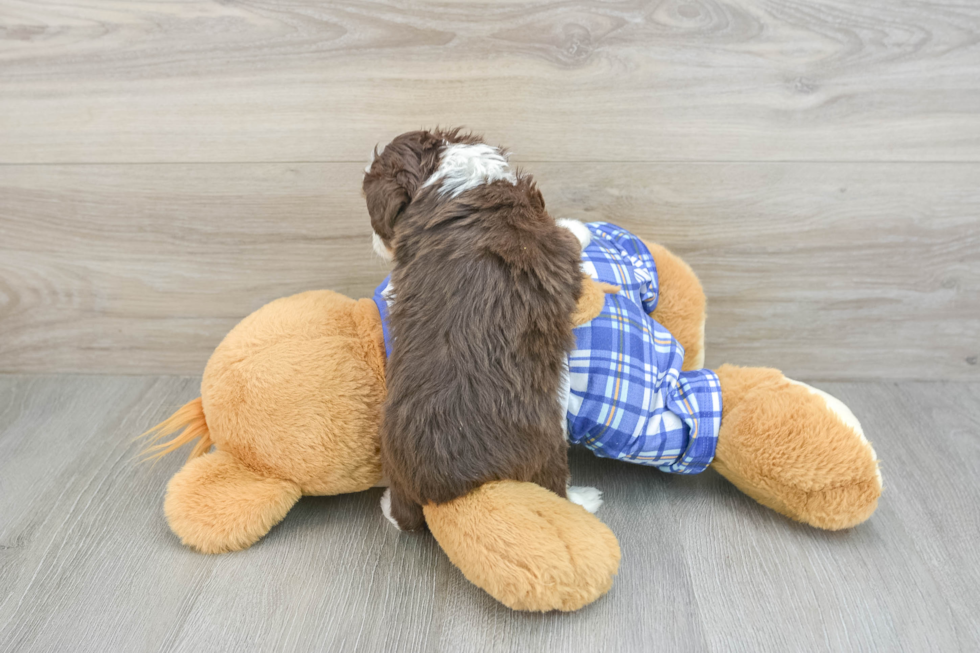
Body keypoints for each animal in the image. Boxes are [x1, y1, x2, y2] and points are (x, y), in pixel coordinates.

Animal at [364, 130, 584, 532]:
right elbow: (571, 236)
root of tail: (460, 486)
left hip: (395, 456)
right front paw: (579, 225)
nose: (375, 242)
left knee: (404, 516)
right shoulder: (551, 238)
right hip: (550, 448)